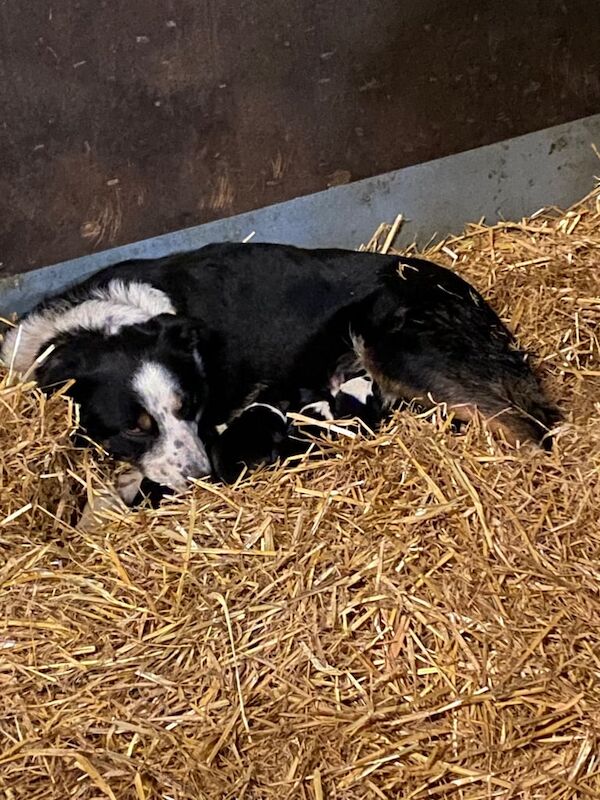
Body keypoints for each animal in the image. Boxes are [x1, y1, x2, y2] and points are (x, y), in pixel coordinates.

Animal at [0, 242, 556, 500]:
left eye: (193, 406)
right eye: (134, 430)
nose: (206, 478)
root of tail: (466, 292)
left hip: (403, 350)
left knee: (532, 427)